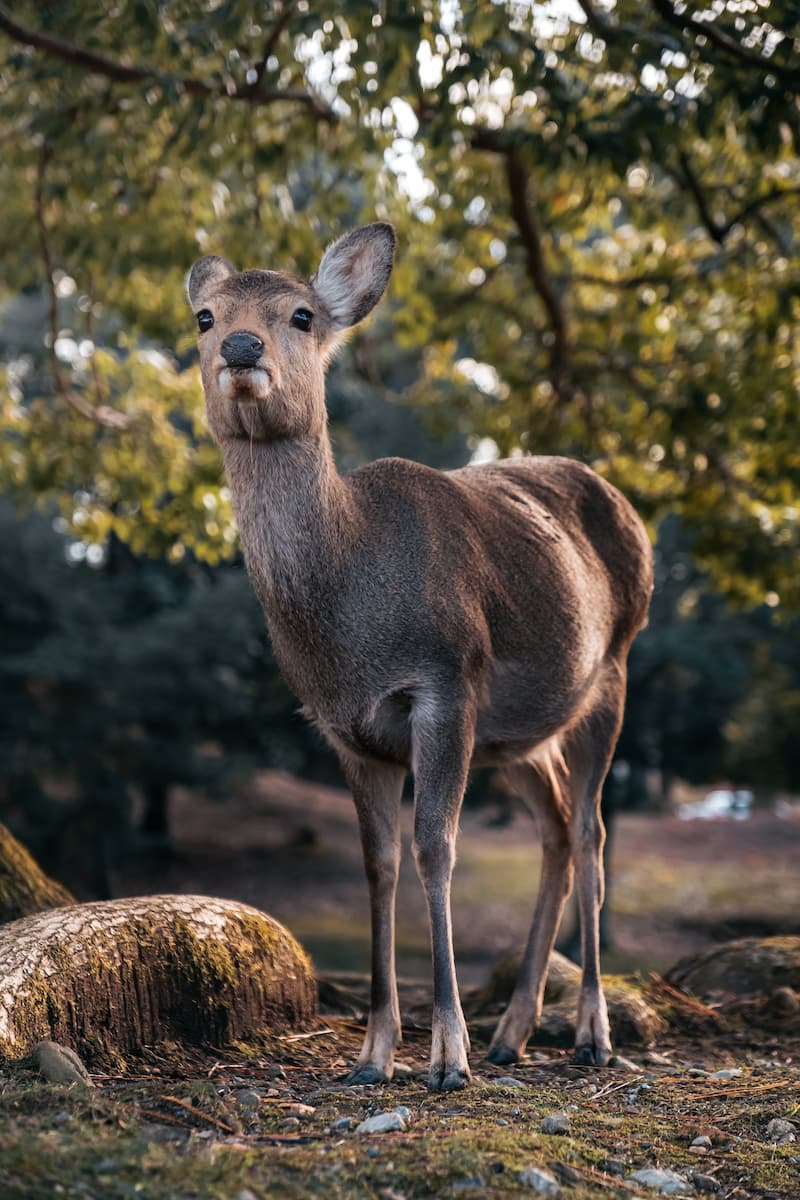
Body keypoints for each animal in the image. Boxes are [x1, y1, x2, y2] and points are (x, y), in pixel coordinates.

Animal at [186, 223, 653, 1092]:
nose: (239, 346)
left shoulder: (444, 683)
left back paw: (590, 1034)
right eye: (204, 316)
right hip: (516, 739)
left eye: (301, 314)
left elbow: (437, 848)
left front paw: (446, 1056)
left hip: (611, 670)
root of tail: (631, 511)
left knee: (592, 833)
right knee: (555, 829)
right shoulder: (343, 727)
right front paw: (372, 1055)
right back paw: (514, 1032)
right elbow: (378, 865)